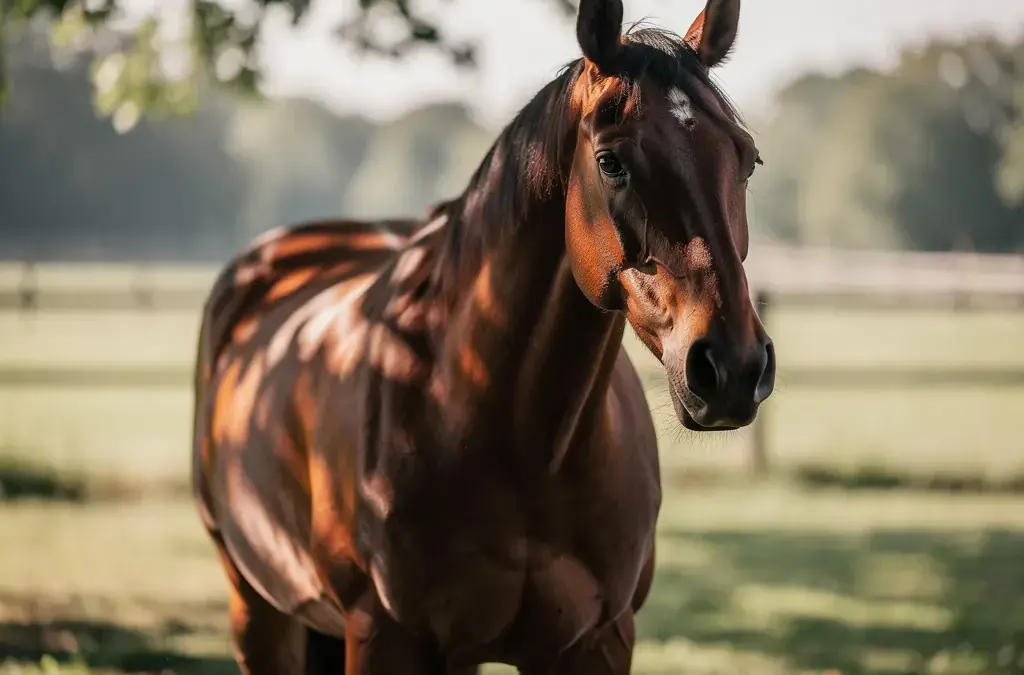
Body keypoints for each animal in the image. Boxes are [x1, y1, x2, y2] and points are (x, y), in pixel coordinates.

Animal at [191, 0, 775, 672]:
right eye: (612, 162)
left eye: (747, 159)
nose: (732, 368)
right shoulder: (383, 638)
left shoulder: (598, 641)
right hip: (258, 610)